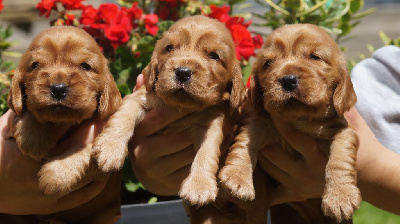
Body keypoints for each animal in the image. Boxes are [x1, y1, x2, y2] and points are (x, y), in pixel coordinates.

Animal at [5, 25, 122, 222]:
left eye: (85, 66)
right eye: (35, 65)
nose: (58, 89)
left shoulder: (104, 165)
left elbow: (85, 149)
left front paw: (56, 175)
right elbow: (27, 111)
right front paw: (33, 138)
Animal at [91, 15, 247, 207]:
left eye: (214, 56)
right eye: (169, 48)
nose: (182, 72)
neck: (181, 105)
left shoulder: (213, 122)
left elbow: (207, 152)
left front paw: (199, 185)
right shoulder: (140, 97)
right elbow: (123, 117)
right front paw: (110, 148)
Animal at [223, 23, 360, 223]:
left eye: (315, 57)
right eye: (268, 63)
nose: (288, 80)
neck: (299, 118)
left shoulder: (344, 130)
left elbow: (340, 157)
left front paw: (340, 196)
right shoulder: (261, 122)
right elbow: (245, 143)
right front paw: (237, 176)